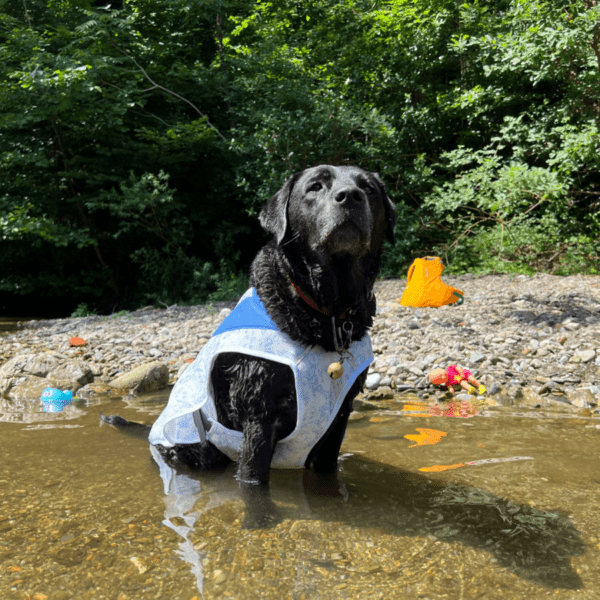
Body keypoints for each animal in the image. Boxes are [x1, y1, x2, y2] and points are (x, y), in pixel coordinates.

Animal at [102, 164, 394, 488]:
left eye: (368, 189)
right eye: (315, 186)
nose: (350, 196)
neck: (326, 313)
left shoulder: (339, 419)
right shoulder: (259, 417)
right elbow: (253, 481)